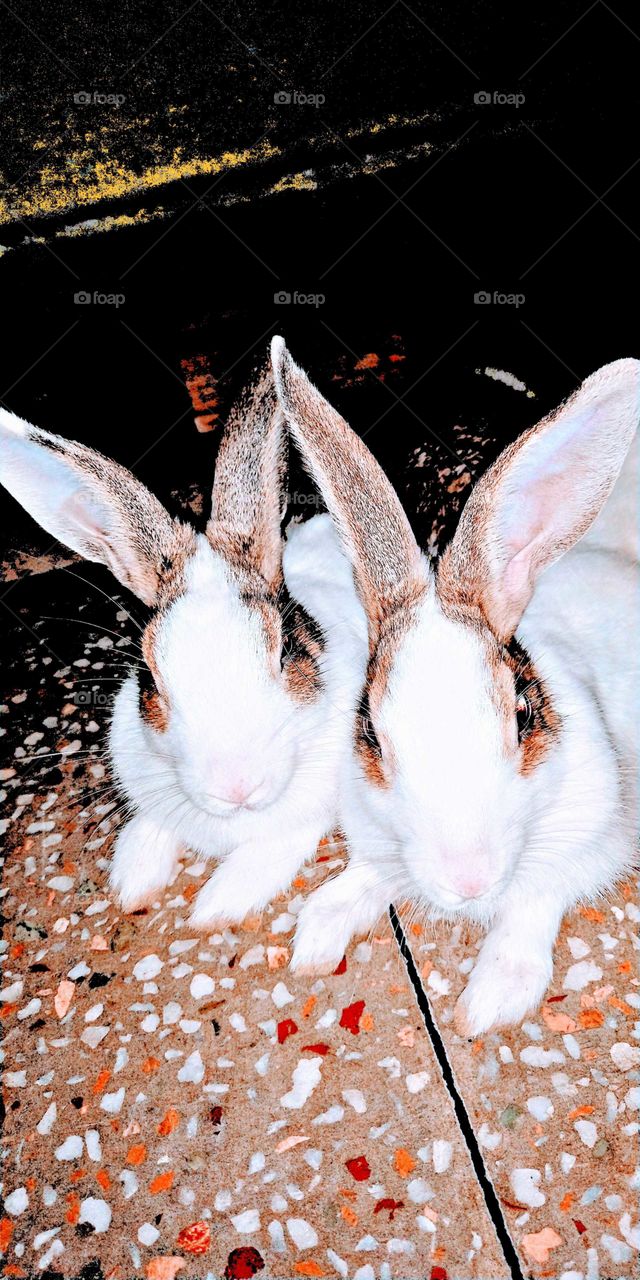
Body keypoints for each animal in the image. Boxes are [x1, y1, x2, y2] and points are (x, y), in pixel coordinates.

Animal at [0, 357, 368, 929]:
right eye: (150, 677)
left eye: (285, 651)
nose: (236, 787)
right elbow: (150, 826)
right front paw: (133, 881)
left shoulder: (310, 813)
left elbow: (274, 849)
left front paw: (216, 905)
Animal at [271, 335, 639, 1032]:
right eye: (372, 733)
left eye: (522, 714)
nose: (467, 882)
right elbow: (369, 875)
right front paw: (318, 935)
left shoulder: (594, 837)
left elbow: (534, 899)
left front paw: (490, 999)